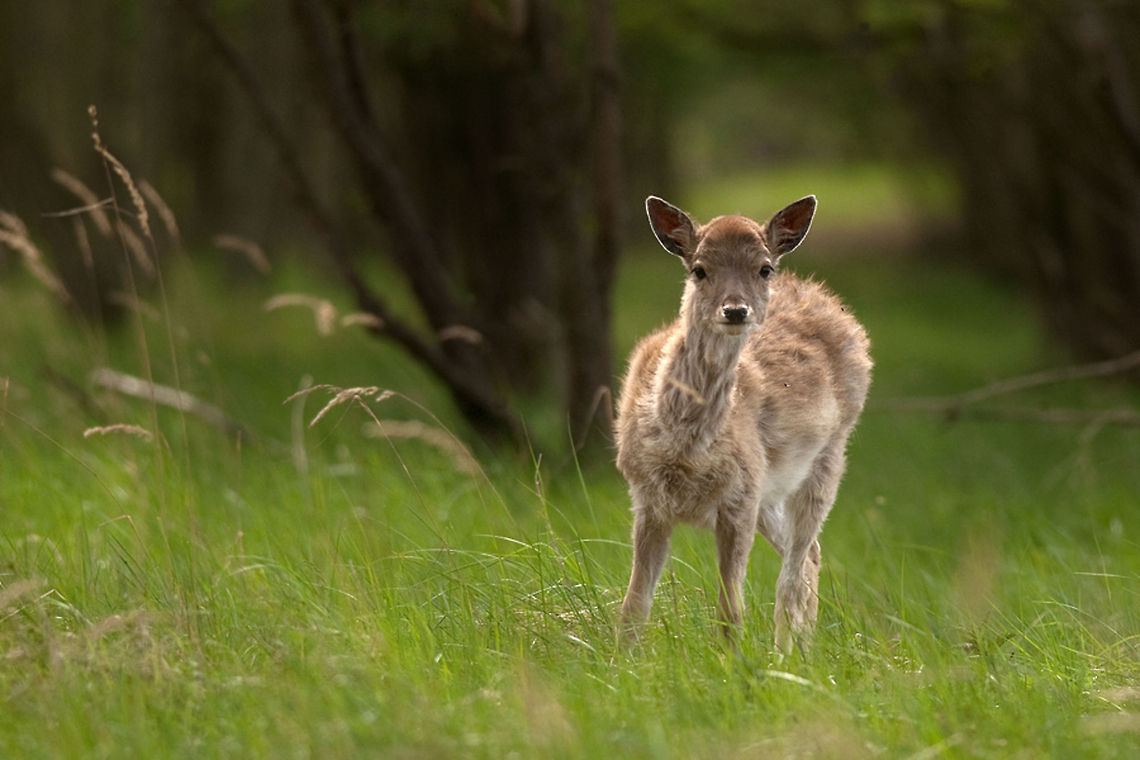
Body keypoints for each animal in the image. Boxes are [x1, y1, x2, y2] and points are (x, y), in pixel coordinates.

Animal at [615, 194, 872, 653]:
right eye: (698, 268)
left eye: (764, 267)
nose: (735, 310)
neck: (686, 447)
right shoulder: (647, 498)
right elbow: (633, 605)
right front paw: (620, 662)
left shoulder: (738, 499)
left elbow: (729, 609)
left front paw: (732, 663)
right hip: (768, 489)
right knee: (810, 554)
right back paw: (803, 648)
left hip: (827, 456)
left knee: (794, 571)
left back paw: (787, 653)